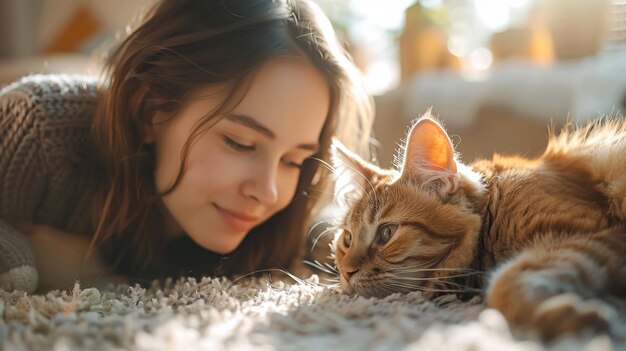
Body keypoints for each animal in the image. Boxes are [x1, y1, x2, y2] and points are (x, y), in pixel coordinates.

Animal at [332, 112, 624, 340]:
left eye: (387, 233)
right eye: (347, 239)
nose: (346, 272)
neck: (494, 208)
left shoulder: (593, 234)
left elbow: (504, 283)